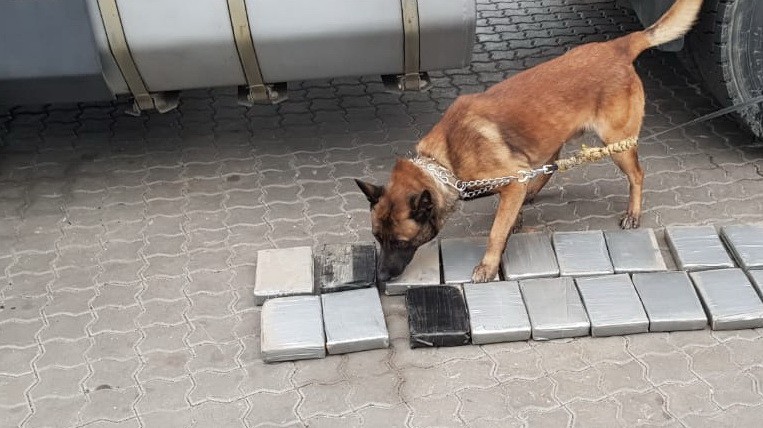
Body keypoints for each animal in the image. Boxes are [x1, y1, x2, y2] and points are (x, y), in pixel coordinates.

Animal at [356, 0, 703, 283]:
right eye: (376, 238)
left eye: (400, 242)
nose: (381, 277)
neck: (446, 160)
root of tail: (617, 46)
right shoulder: (512, 180)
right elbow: (508, 212)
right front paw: (514, 219)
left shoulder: (509, 183)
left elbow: (496, 232)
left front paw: (489, 264)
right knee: (549, 165)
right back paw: (533, 193)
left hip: (617, 144)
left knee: (637, 175)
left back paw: (633, 211)